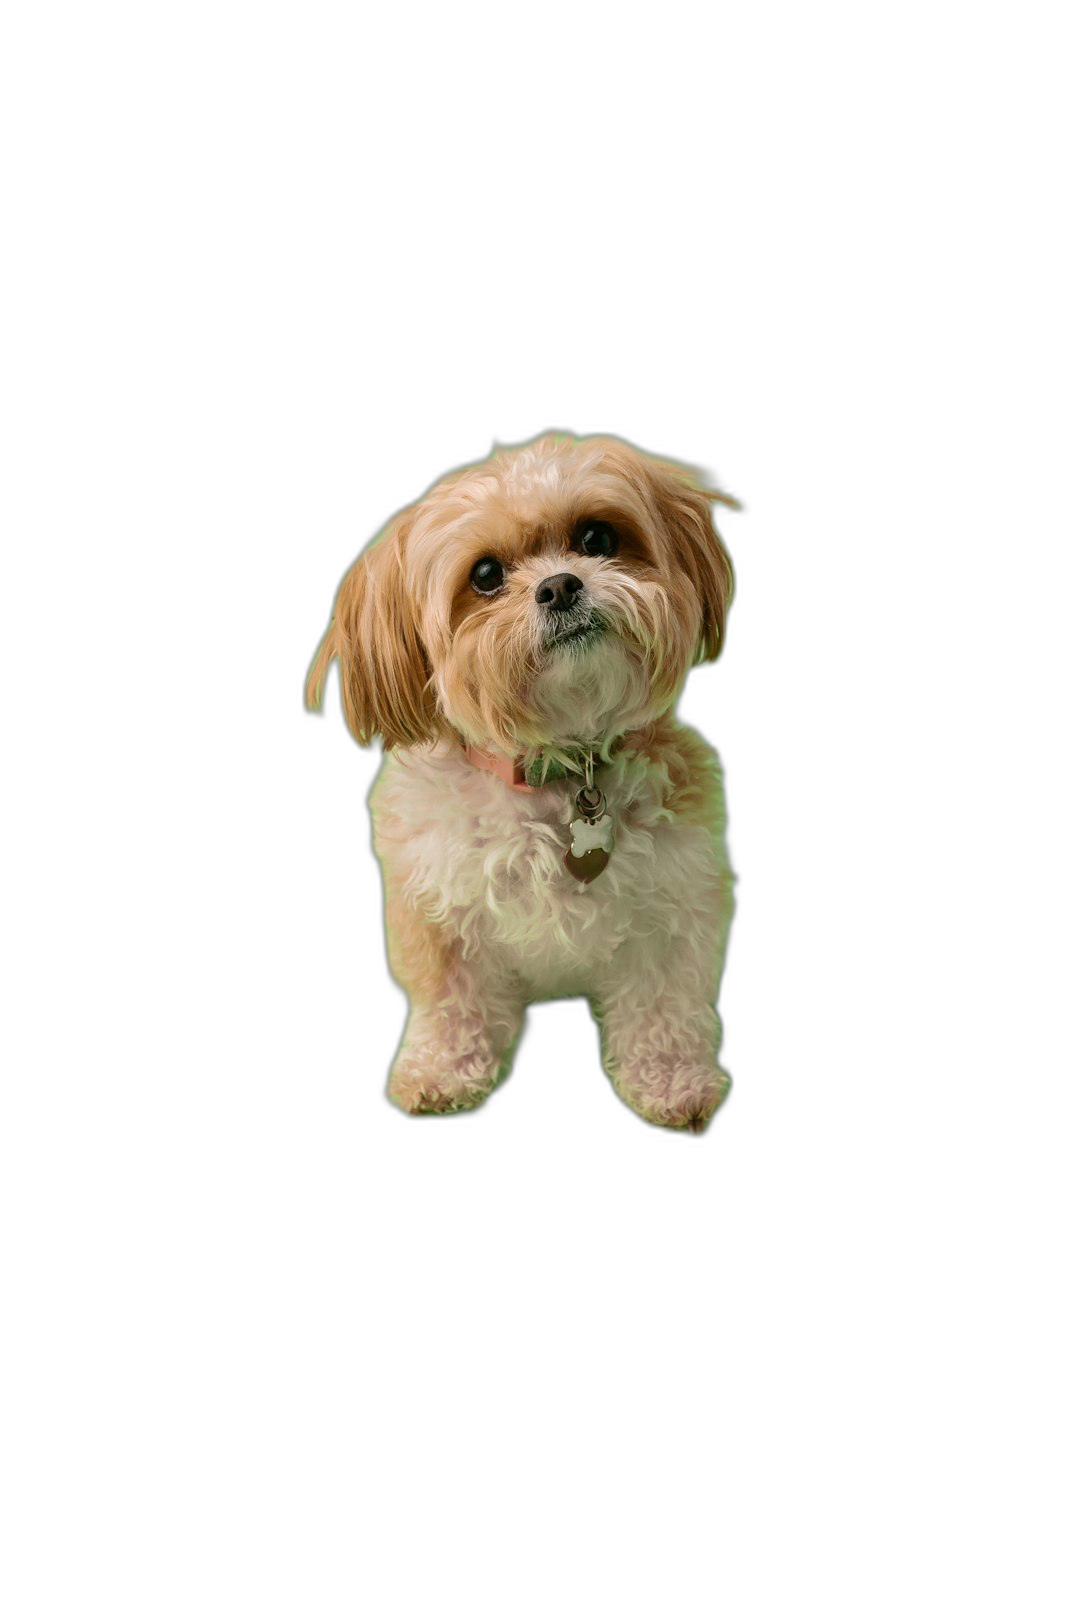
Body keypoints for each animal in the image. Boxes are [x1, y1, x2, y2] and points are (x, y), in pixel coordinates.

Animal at [307, 433, 737, 1138]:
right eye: (485, 576)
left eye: (596, 537)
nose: (560, 584)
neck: (557, 769)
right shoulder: (438, 912)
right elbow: (453, 1004)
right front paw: (445, 1071)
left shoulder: (671, 910)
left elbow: (662, 1009)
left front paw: (672, 1082)